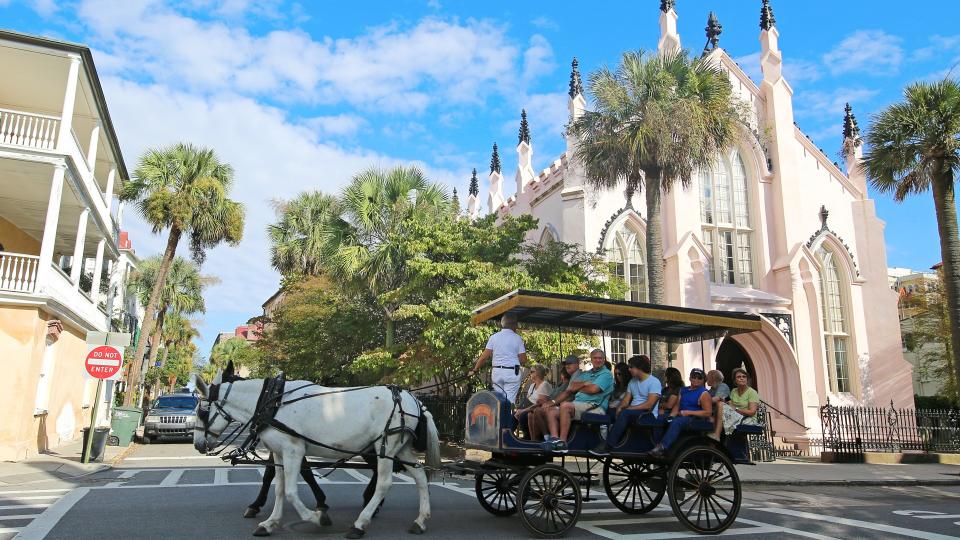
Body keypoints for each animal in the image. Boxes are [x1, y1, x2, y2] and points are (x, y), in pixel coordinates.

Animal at [195, 370, 442, 536]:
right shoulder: (280, 453)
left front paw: (318, 517)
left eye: (202, 411)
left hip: (386, 446)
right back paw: (420, 520)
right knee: (420, 477)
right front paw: (270, 523)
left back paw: (360, 523)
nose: (197, 444)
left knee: (384, 482)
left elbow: (292, 491)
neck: (272, 402)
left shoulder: (293, 450)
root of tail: (413, 399)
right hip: (401, 448)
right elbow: (279, 488)